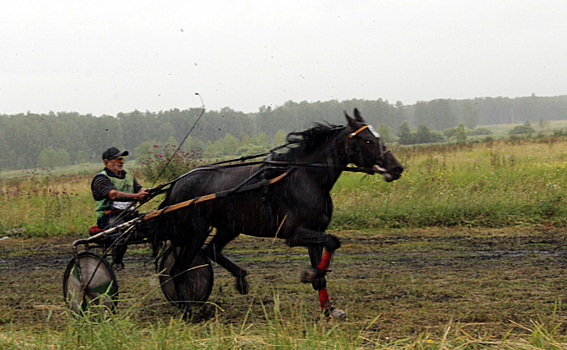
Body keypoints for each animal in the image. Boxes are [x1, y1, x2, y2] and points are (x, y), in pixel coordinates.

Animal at [159, 108, 404, 318]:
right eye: (368, 140)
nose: (397, 168)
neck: (307, 178)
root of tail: (176, 184)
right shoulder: (294, 234)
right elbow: (333, 242)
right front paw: (311, 275)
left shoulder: (315, 231)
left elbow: (324, 259)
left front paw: (328, 308)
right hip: (194, 232)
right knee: (179, 269)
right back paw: (188, 311)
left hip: (229, 227)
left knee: (211, 250)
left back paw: (240, 279)